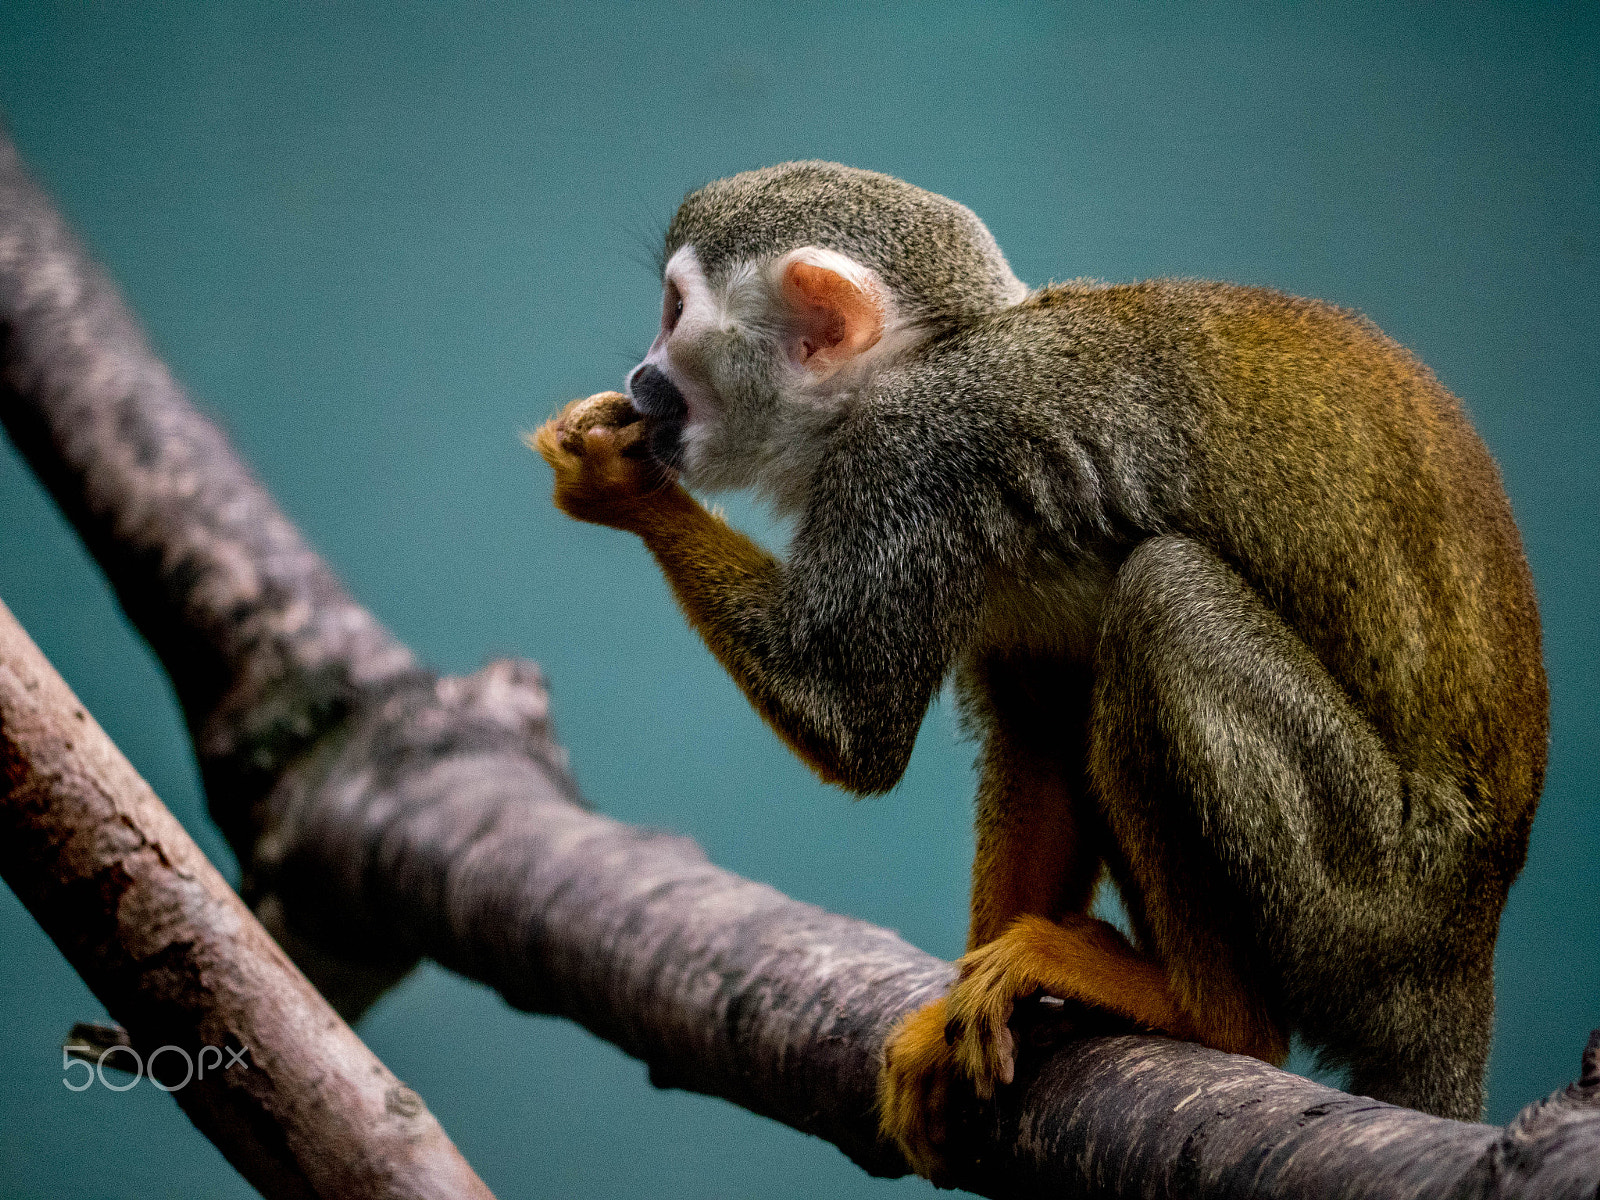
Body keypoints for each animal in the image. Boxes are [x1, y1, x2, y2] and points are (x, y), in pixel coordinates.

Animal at [531, 161, 1547, 1179]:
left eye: (673, 311)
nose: (643, 378)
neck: (925, 361)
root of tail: (1468, 947)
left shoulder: (916, 459)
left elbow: (852, 723)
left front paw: (615, 480)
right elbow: (1040, 741)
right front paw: (943, 1034)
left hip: (1376, 894)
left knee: (1164, 599)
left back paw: (1209, 1016)